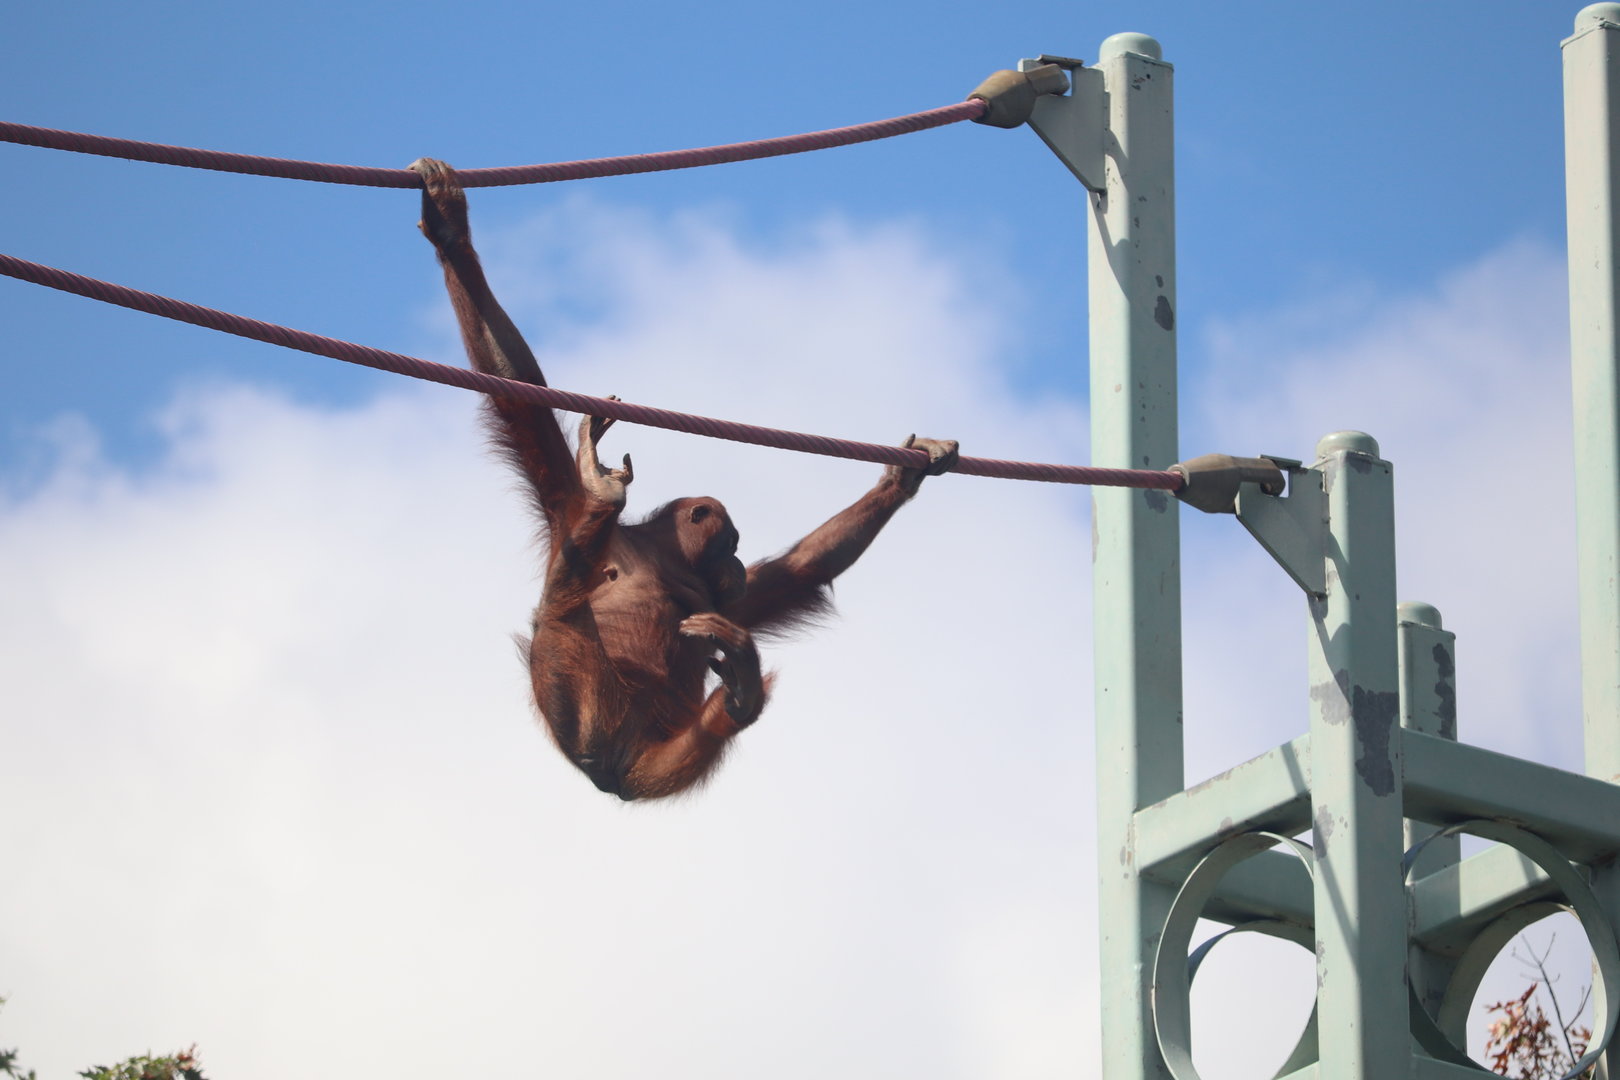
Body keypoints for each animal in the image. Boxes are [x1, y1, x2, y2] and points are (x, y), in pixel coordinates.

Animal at [409, 158, 957, 800]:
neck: (663, 554)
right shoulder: (562, 500)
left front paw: (902, 473)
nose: (736, 561)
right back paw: (601, 502)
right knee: (559, 620)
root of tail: (617, 773)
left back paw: (741, 691)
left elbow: (800, 570)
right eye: (733, 540)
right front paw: (450, 231)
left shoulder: (725, 598)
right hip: (583, 710)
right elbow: (517, 393)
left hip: (663, 761)